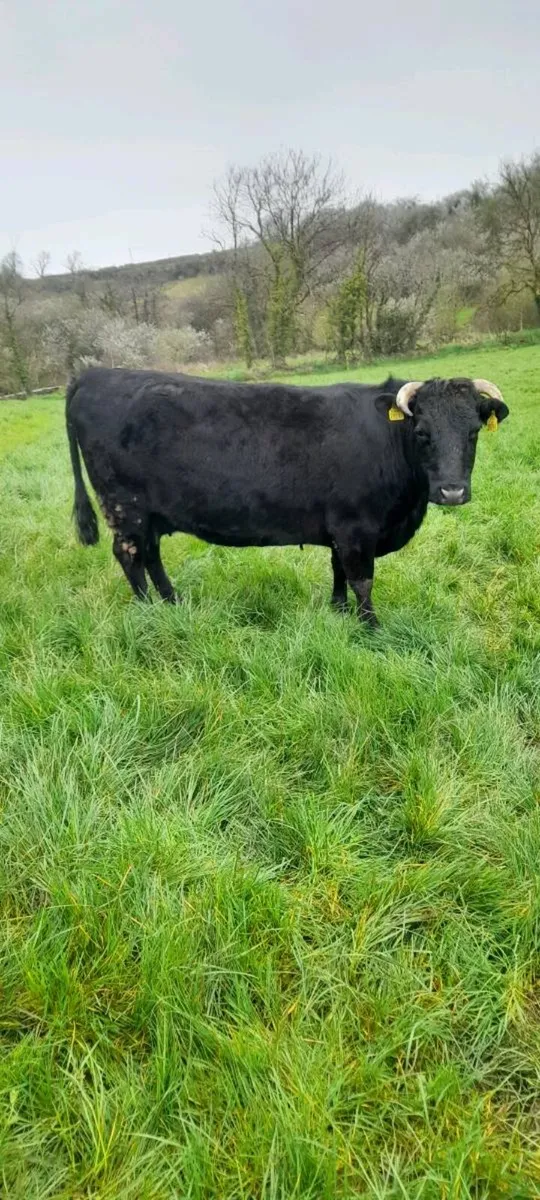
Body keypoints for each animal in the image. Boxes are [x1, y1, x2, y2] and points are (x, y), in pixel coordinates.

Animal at [65, 368, 508, 627]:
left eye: (473, 432)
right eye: (422, 433)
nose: (452, 491)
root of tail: (95, 372)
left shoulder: (340, 528)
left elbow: (338, 572)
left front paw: (338, 612)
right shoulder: (355, 528)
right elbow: (362, 579)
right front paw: (370, 627)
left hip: (152, 513)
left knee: (151, 554)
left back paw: (173, 602)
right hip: (125, 507)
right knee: (129, 555)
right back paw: (147, 610)